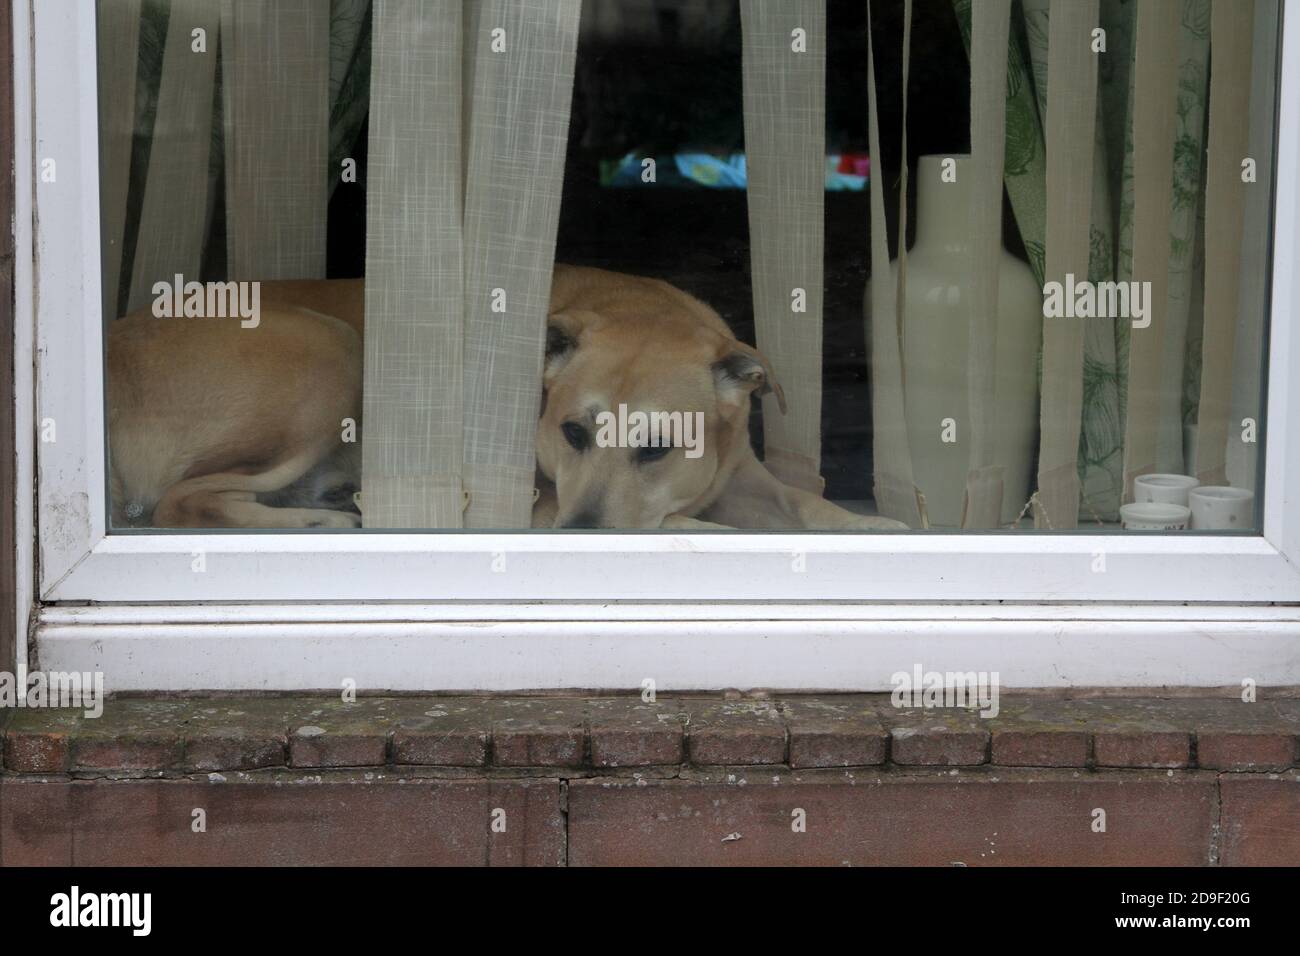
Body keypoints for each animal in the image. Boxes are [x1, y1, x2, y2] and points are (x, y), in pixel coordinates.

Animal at [106, 267, 904, 530]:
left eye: (656, 447)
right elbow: (698, 530)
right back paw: (316, 523)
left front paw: (881, 528)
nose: (575, 534)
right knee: (181, 500)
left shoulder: (745, 481)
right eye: (573, 434)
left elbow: (810, 508)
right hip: (331, 351)